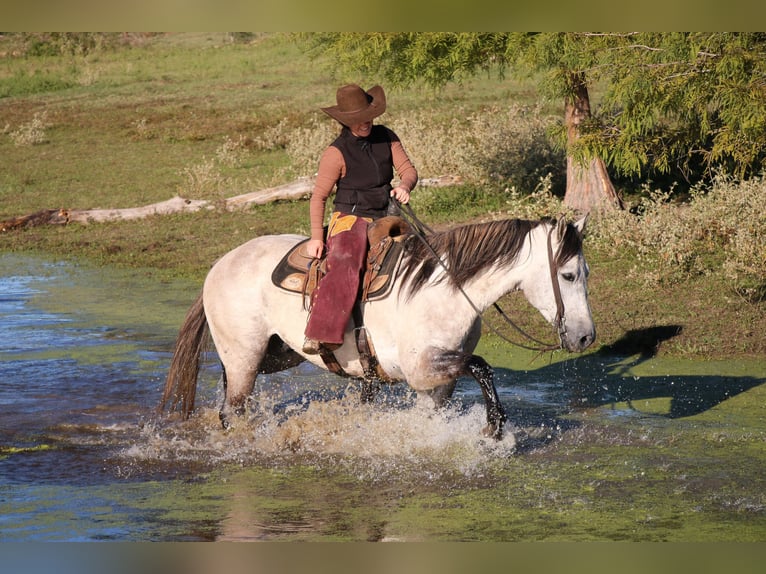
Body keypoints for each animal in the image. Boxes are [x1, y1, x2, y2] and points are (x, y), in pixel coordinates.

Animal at [159, 214, 595, 440]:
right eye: (569, 274)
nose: (586, 336)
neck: (446, 291)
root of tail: (219, 265)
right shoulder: (420, 369)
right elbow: (483, 365)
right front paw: (493, 425)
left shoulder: (438, 383)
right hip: (245, 357)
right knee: (232, 408)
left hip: (274, 355)